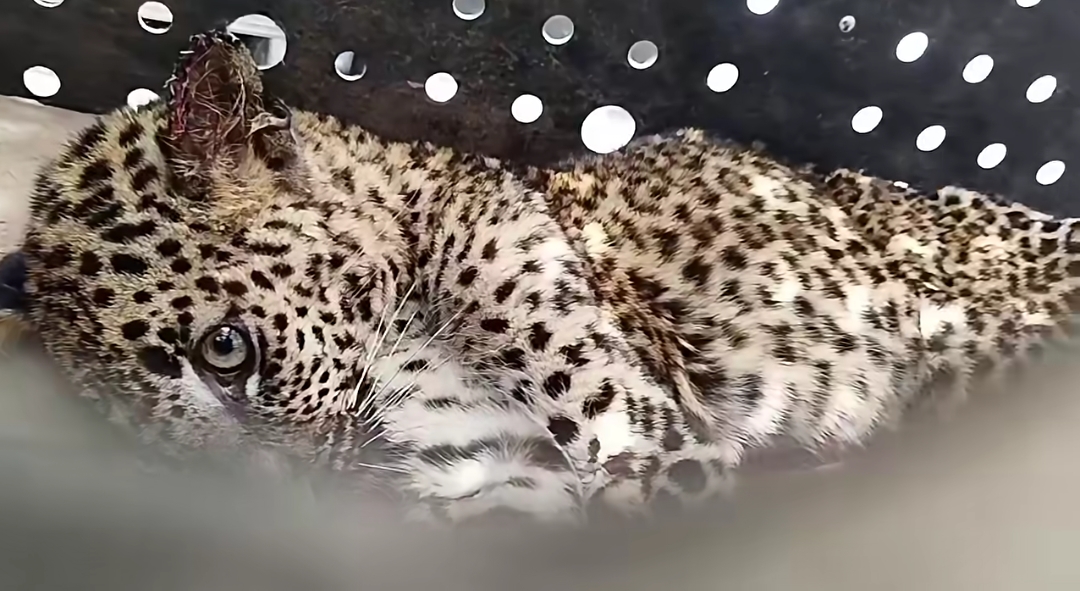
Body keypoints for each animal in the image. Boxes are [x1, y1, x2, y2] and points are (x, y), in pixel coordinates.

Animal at [5, 29, 1080, 525]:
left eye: (224, 352)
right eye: (159, 453)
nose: (297, 493)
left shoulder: (650, 427)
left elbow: (641, 476)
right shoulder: (502, 478)